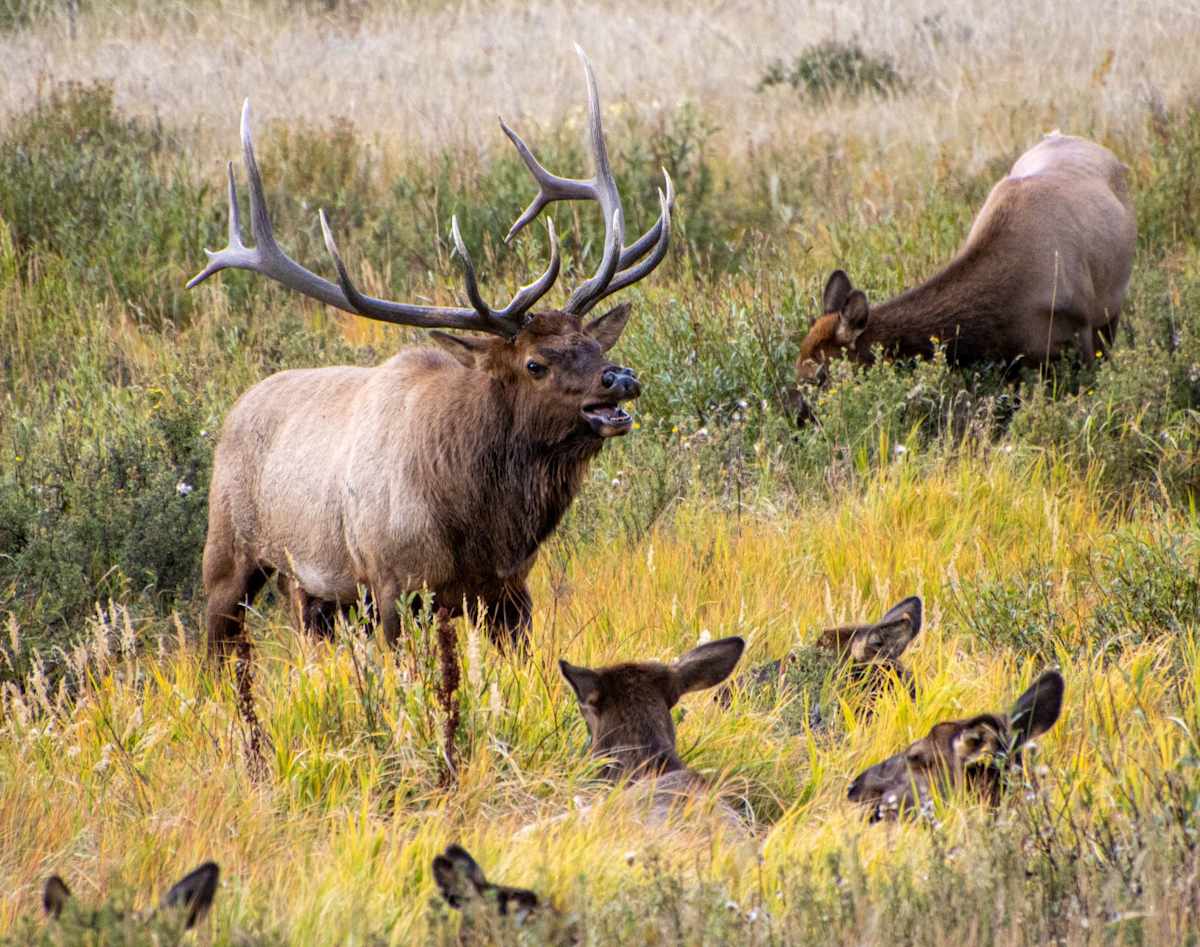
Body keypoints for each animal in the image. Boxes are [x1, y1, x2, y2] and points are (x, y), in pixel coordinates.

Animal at [189, 46, 676, 657]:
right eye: (534, 364)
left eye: (592, 342)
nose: (620, 379)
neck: (476, 520)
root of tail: (235, 408)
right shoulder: (394, 584)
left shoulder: (508, 588)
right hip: (228, 550)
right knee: (220, 646)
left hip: (313, 591)